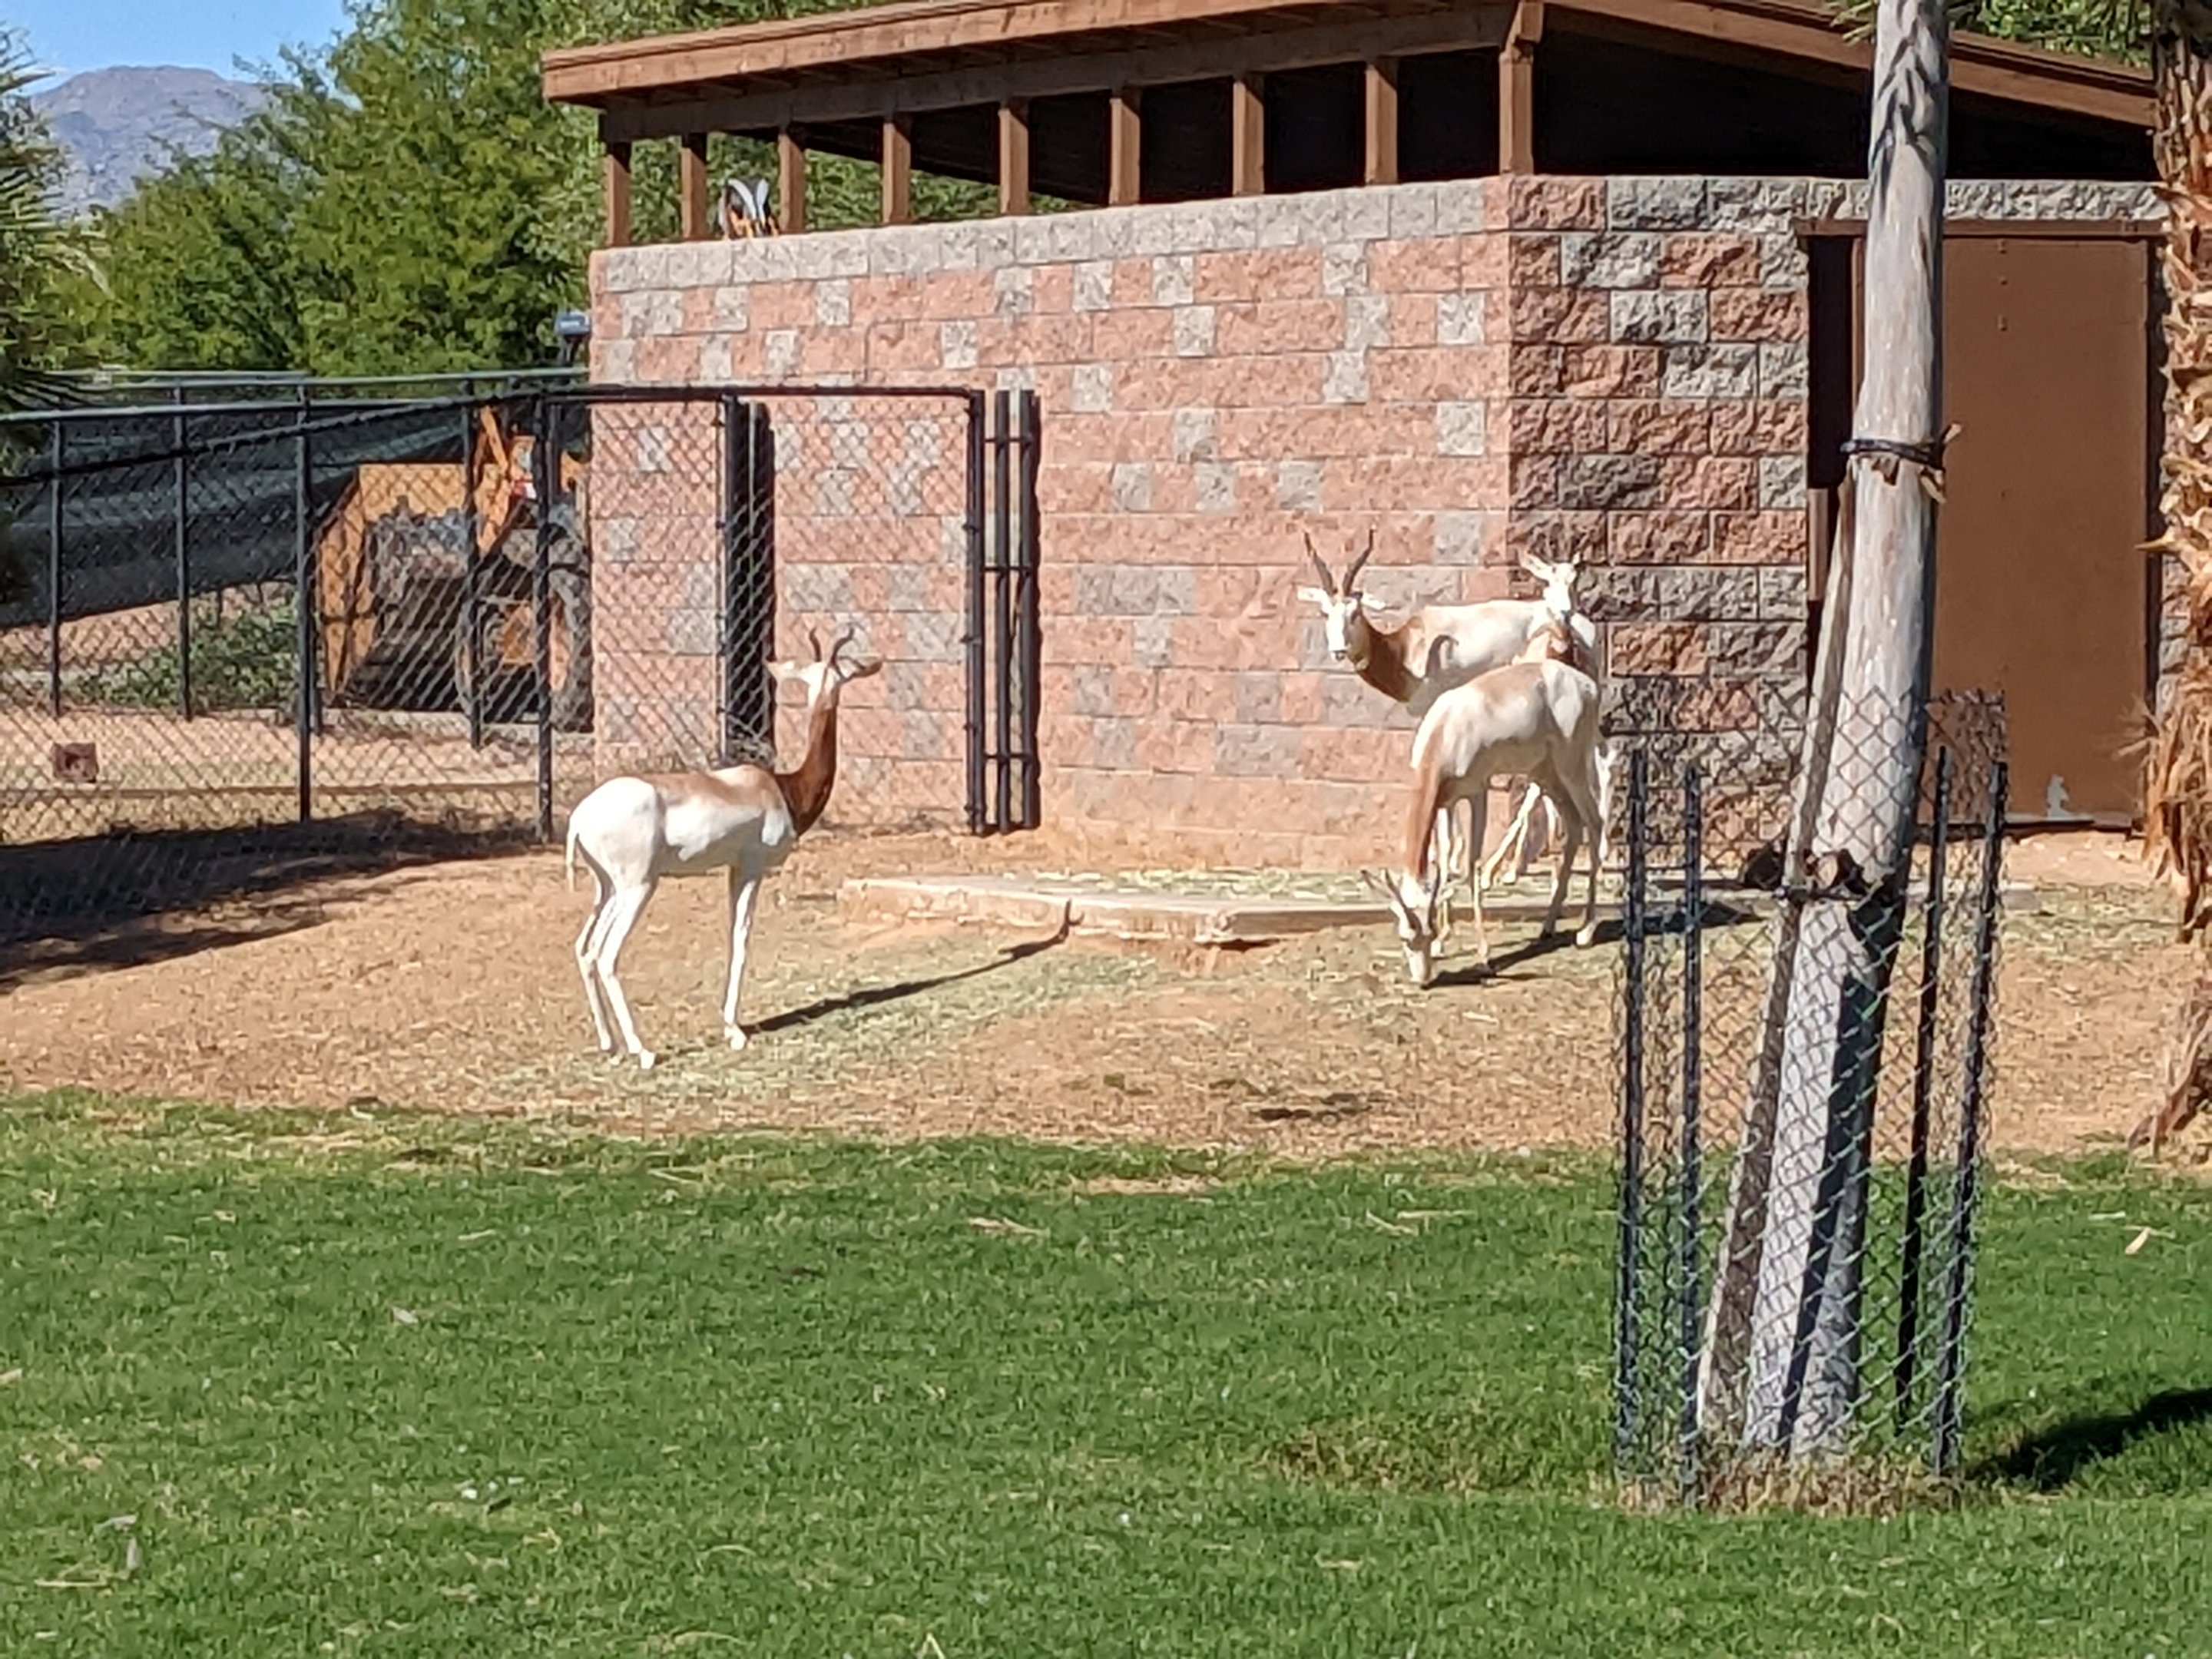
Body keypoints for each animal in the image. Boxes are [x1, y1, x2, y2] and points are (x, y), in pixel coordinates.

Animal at [563, 626, 880, 1069]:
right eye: (836, 679)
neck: (782, 788)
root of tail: (580, 817)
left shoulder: (732, 868)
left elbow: (731, 934)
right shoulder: (753, 867)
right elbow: (742, 937)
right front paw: (735, 1030)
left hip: (606, 888)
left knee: (584, 949)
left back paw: (610, 1044)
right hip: (637, 887)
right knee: (606, 954)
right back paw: (643, 1050)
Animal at [1364, 624, 1607, 987]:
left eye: (1425, 931)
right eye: (1406, 937)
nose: (1423, 980)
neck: (1446, 729)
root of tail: (1586, 685)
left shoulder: (1477, 791)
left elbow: (1472, 866)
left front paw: (1484, 956)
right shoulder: (1444, 802)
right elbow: (1445, 860)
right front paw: (1444, 944)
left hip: (1572, 767)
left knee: (1594, 821)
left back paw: (1586, 931)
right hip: (1547, 774)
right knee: (1575, 825)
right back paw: (1547, 926)